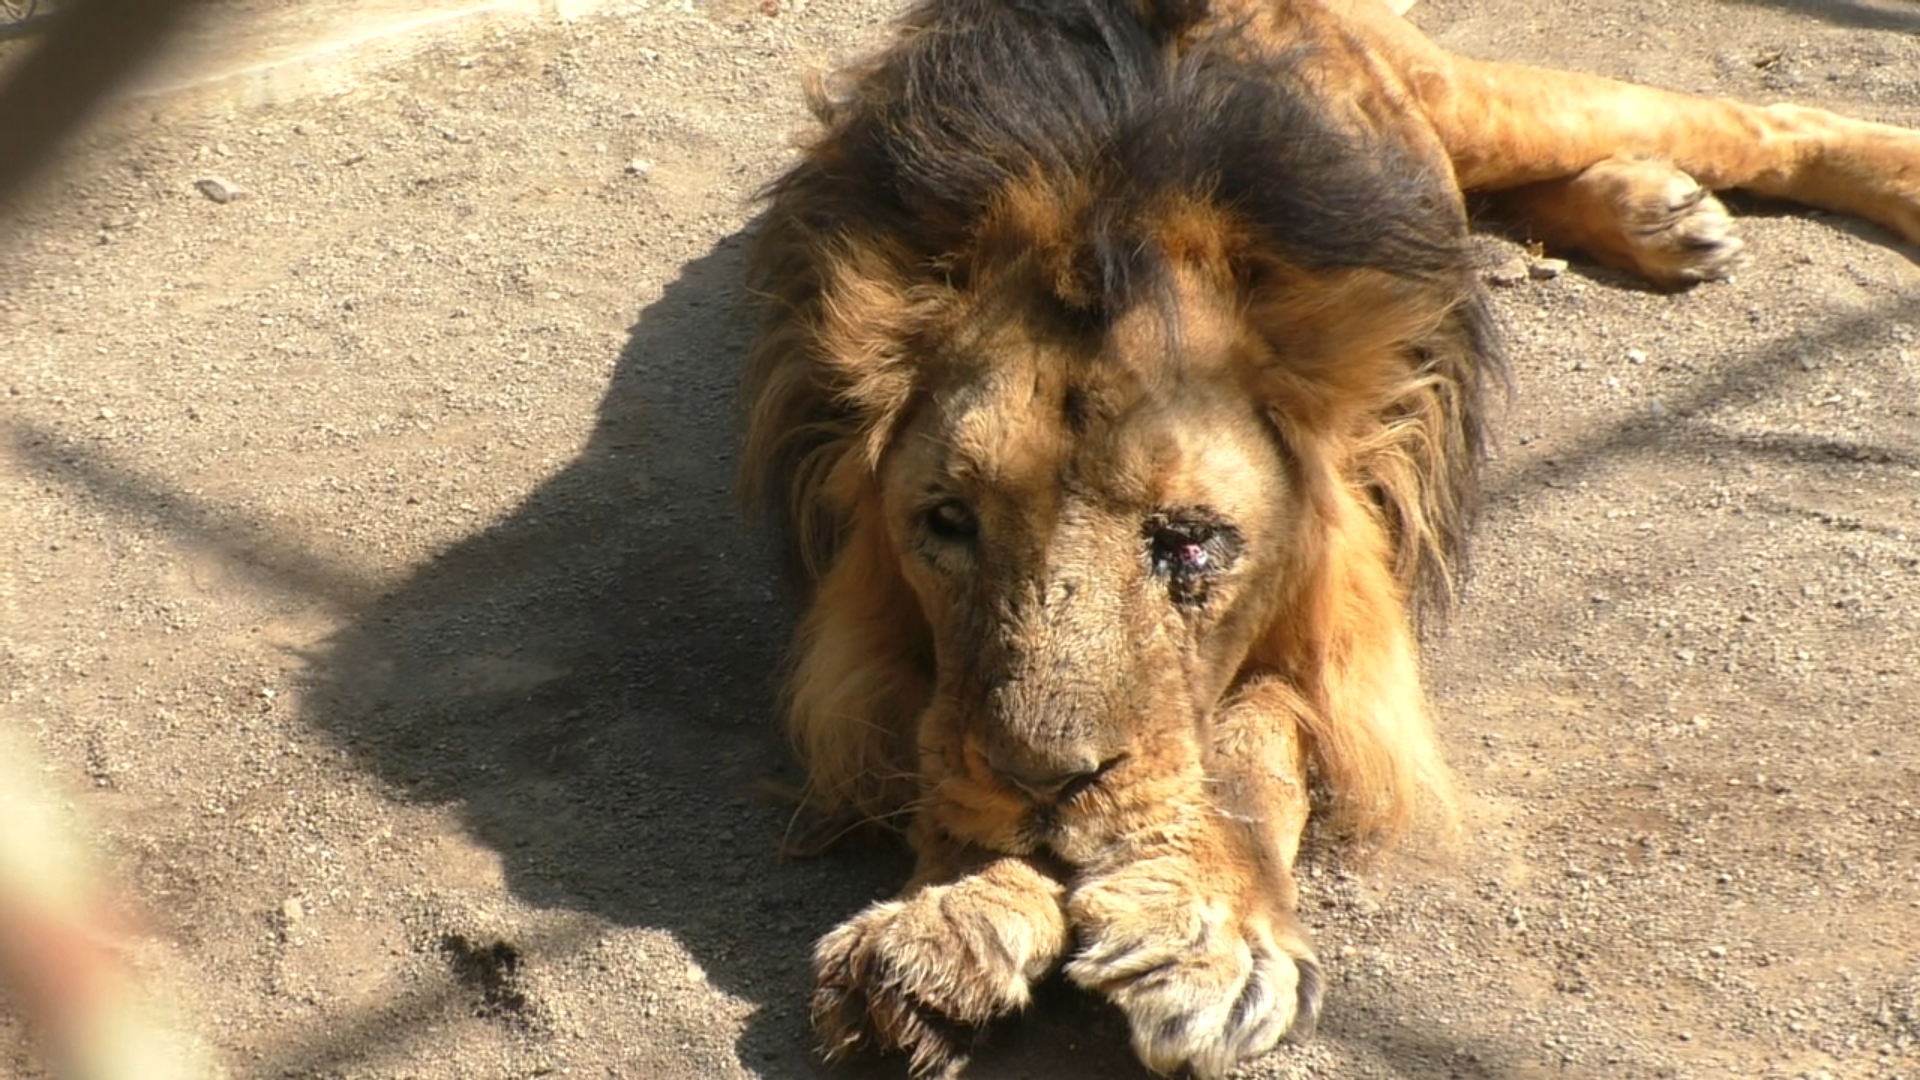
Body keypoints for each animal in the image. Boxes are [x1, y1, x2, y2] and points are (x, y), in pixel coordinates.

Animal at [733, 4, 1920, 1068]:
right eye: (948, 522)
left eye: (1190, 543)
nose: (1038, 781)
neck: (1110, 196)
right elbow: (945, 756)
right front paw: (950, 917)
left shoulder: (1347, 635)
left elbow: (1248, 753)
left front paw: (1210, 929)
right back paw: (1655, 211)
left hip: (1461, 97)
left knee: (1742, 118)